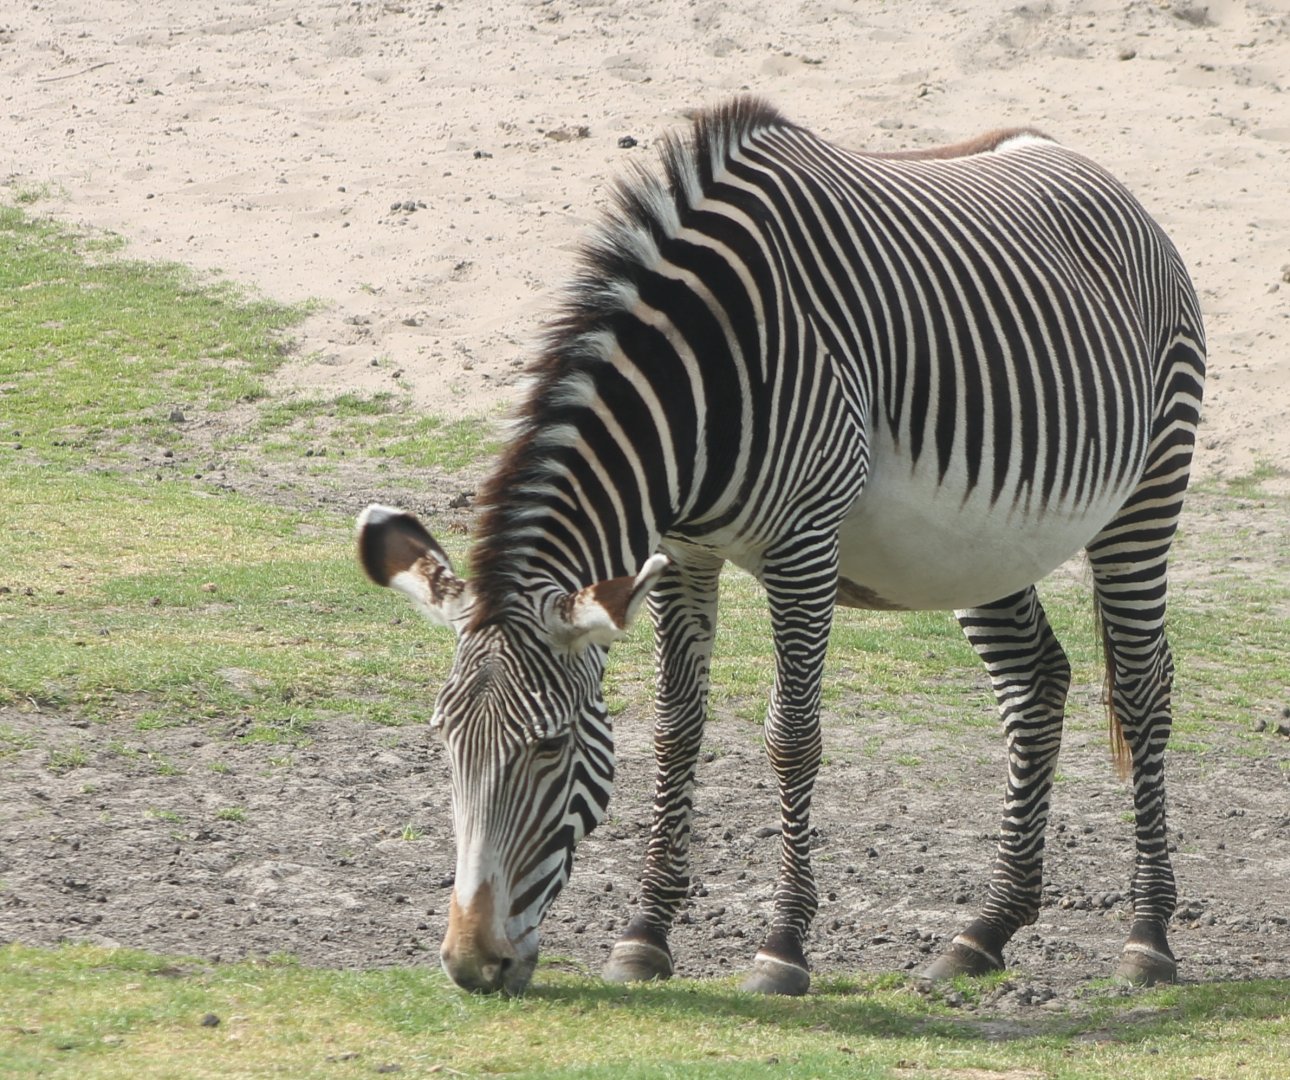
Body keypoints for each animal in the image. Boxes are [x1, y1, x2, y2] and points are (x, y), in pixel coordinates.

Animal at [357, 98, 1205, 997]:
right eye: (444, 740)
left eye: (550, 746)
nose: (470, 964)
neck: (702, 376)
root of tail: (1079, 159)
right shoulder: (681, 549)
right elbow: (677, 729)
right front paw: (644, 936)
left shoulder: (803, 544)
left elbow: (792, 736)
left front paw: (783, 946)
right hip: (978, 544)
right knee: (1034, 681)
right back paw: (985, 931)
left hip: (1150, 487)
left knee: (1144, 688)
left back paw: (1148, 936)